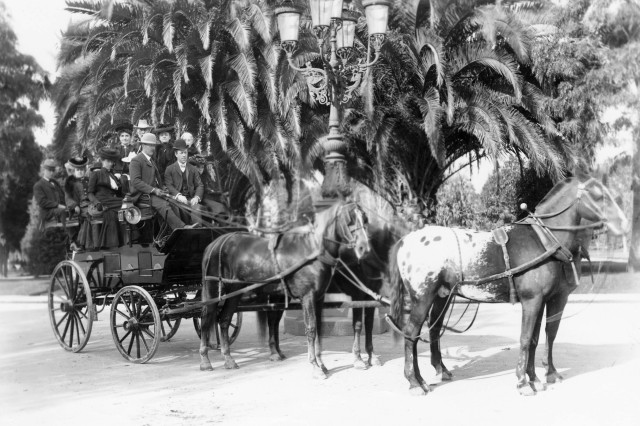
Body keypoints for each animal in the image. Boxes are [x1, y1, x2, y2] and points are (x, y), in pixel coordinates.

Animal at [199, 198, 370, 378]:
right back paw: (205, 360)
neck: (311, 251)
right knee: (206, 319)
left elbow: (319, 328)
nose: (363, 247)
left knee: (224, 320)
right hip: (213, 290)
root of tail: (214, 244)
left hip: (235, 292)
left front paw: (321, 364)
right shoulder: (307, 297)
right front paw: (315, 366)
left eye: (365, 218)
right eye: (350, 219)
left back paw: (228, 359)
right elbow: (311, 329)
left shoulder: (319, 297)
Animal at [388, 173, 628, 396]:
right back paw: (414, 382)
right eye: (598, 195)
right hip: (422, 297)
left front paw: (540, 376)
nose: (624, 224)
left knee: (433, 330)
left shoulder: (548, 300)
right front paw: (523, 382)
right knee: (411, 333)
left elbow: (541, 337)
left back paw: (435, 373)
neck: (544, 241)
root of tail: (405, 240)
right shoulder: (532, 300)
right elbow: (526, 338)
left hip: (442, 295)